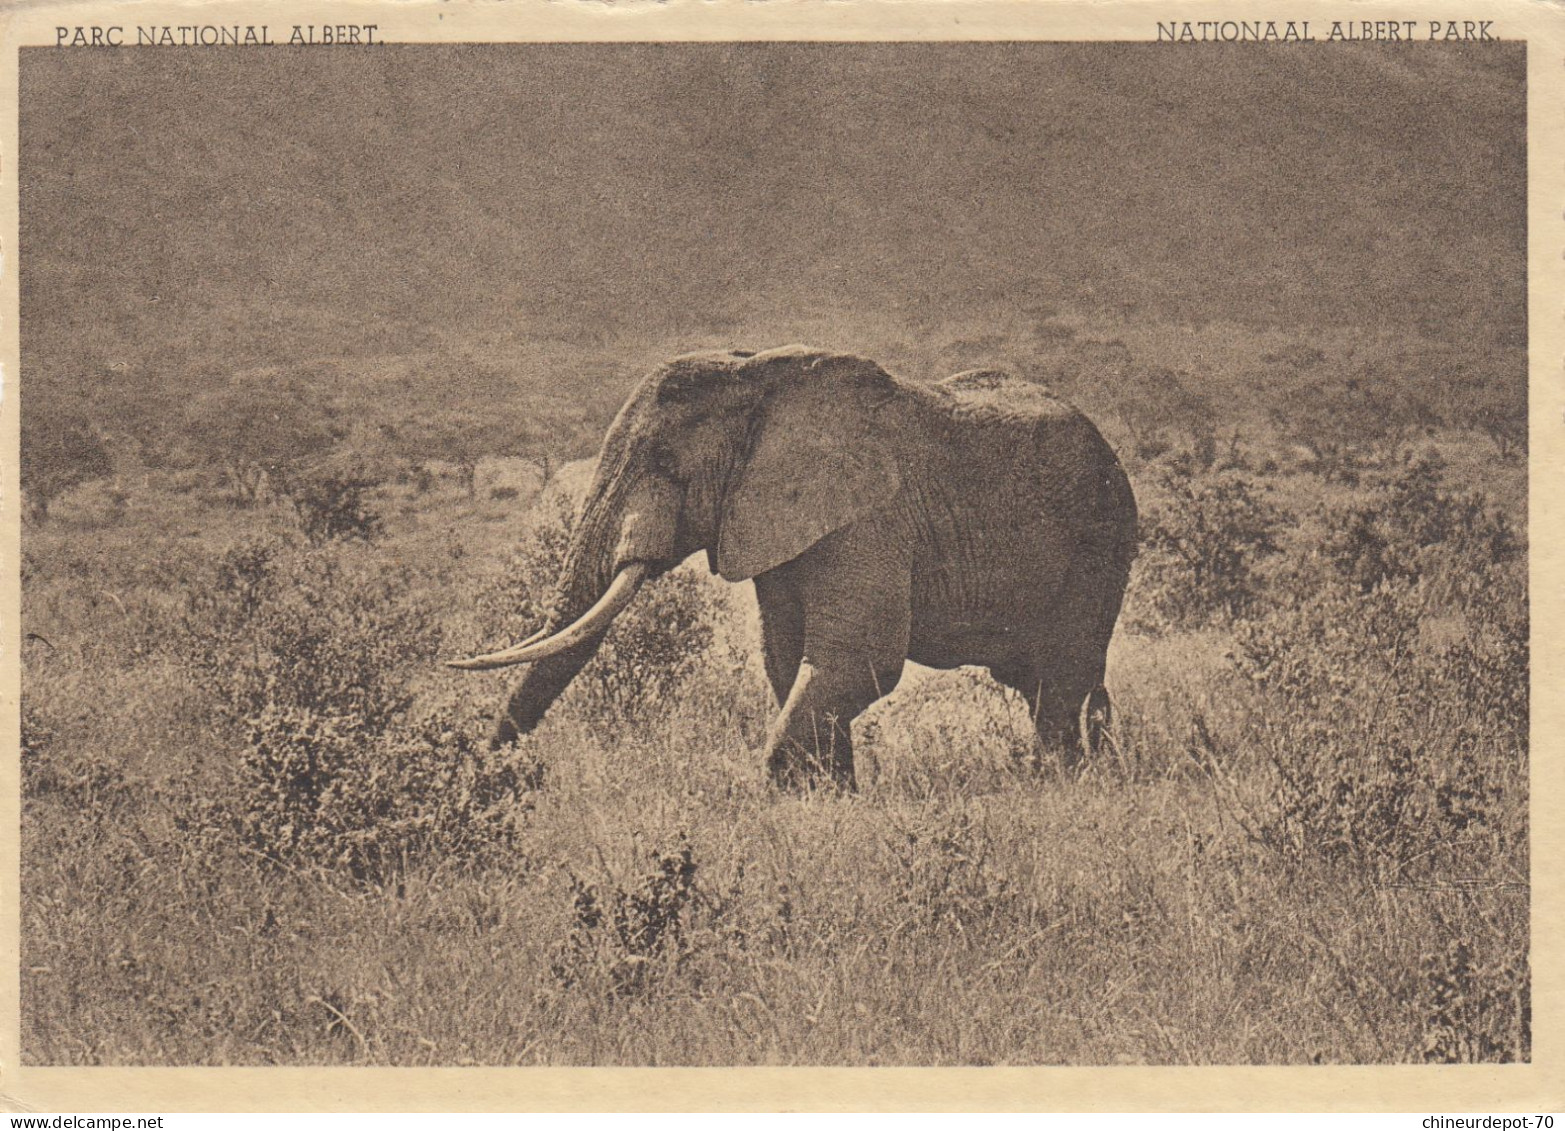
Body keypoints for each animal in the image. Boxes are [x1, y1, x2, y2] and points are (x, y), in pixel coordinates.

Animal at [453, 345, 1139, 788]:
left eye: (664, 464)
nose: (497, 783)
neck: (754, 377)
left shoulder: (869, 519)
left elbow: (857, 661)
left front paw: (780, 803)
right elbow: (789, 660)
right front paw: (831, 799)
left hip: (1102, 544)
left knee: (1059, 682)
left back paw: (1061, 786)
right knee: (1053, 680)